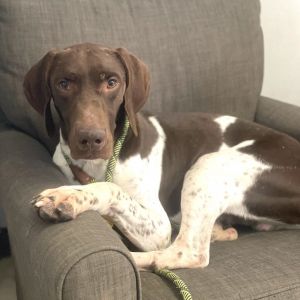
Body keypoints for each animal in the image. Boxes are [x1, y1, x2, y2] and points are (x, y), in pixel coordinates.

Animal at [24, 44, 300, 270]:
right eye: (63, 84)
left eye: (112, 82)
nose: (91, 139)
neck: (95, 166)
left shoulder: (158, 225)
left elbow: (111, 189)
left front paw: (68, 196)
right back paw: (219, 231)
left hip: (208, 164)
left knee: (188, 251)